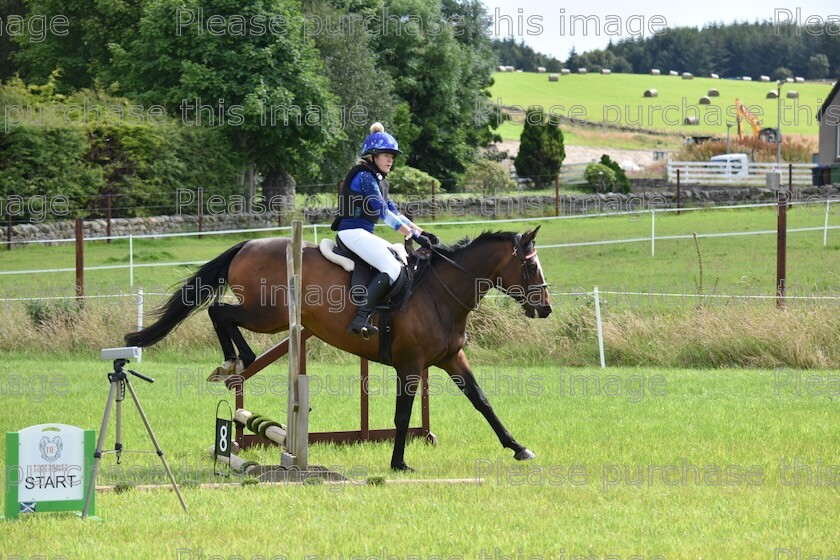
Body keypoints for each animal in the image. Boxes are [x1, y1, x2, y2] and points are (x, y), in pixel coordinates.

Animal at [124, 230, 552, 470]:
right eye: (531, 268)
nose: (545, 308)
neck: (438, 293)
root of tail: (248, 244)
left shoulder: (450, 358)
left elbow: (482, 401)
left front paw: (518, 448)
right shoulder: (411, 364)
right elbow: (401, 415)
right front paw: (398, 462)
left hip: (270, 316)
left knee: (221, 313)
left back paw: (234, 362)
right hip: (268, 315)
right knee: (220, 311)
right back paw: (236, 360)